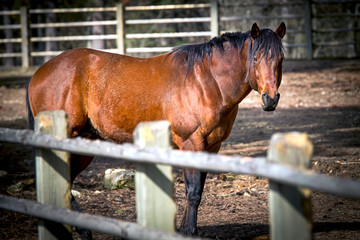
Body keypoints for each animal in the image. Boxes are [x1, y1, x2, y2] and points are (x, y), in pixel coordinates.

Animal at [27, 22, 286, 236]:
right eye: (256, 58)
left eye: (281, 59)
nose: (270, 99)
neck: (207, 82)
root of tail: (40, 73)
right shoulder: (191, 144)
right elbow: (193, 192)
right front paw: (189, 232)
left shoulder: (211, 148)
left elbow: (198, 191)